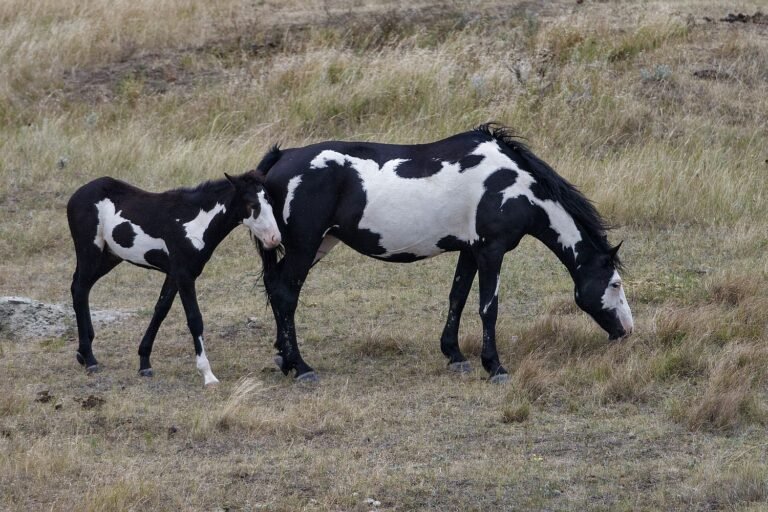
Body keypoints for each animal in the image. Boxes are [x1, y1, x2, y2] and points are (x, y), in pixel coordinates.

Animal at [67, 171, 281, 386]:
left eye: (270, 201)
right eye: (252, 204)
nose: (274, 239)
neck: (194, 222)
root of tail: (77, 194)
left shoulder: (174, 274)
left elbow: (161, 310)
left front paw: (144, 362)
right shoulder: (184, 275)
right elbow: (194, 319)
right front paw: (207, 374)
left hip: (109, 257)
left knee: (80, 289)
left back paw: (82, 353)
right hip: (90, 252)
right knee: (80, 289)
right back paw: (90, 359)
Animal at [254, 123, 634, 383]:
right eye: (614, 284)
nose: (627, 331)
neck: (512, 184)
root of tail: (281, 158)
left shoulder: (470, 251)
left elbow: (457, 298)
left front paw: (455, 355)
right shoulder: (492, 251)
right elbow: (488, 308)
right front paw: (494, 366)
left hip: (318, 245)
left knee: (276, 289)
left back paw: (284, 358)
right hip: (305, 246)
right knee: (286, 294)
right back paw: (301, 367)